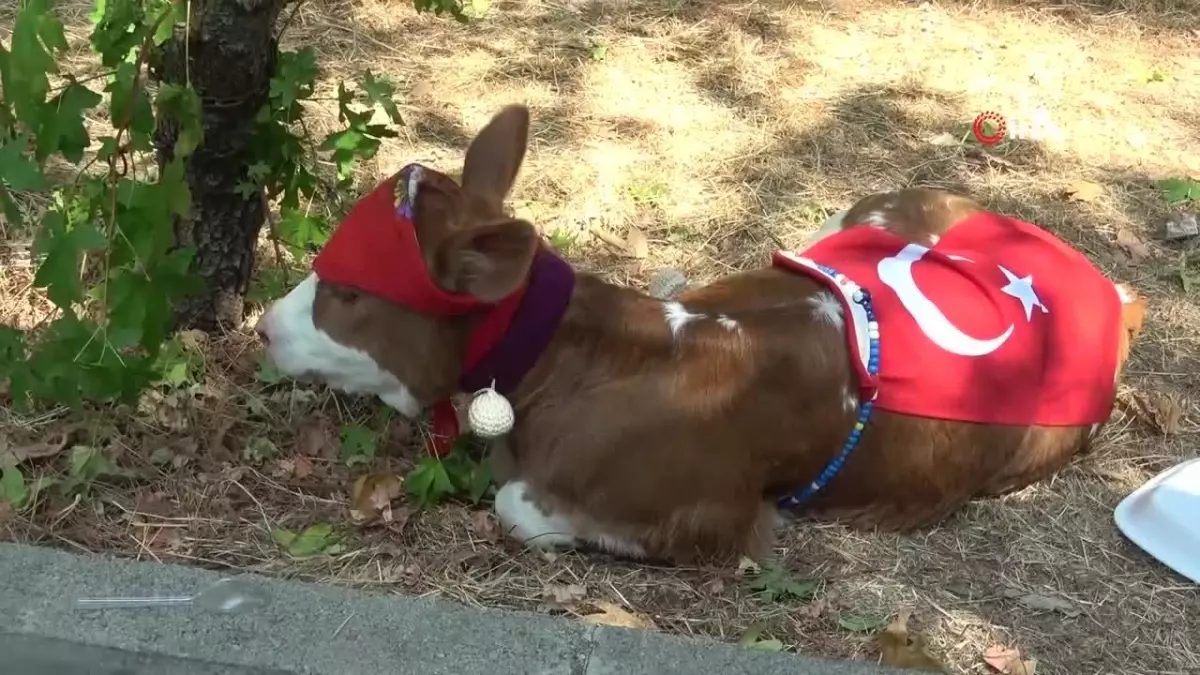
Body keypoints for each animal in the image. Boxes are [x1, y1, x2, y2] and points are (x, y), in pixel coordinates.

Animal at [253, 103, 1142, 562]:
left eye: (346, 292)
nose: (261, 327)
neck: (580, 361)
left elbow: (514, 503)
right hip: (861, 213)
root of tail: (1101, 285)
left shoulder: (713, 516)